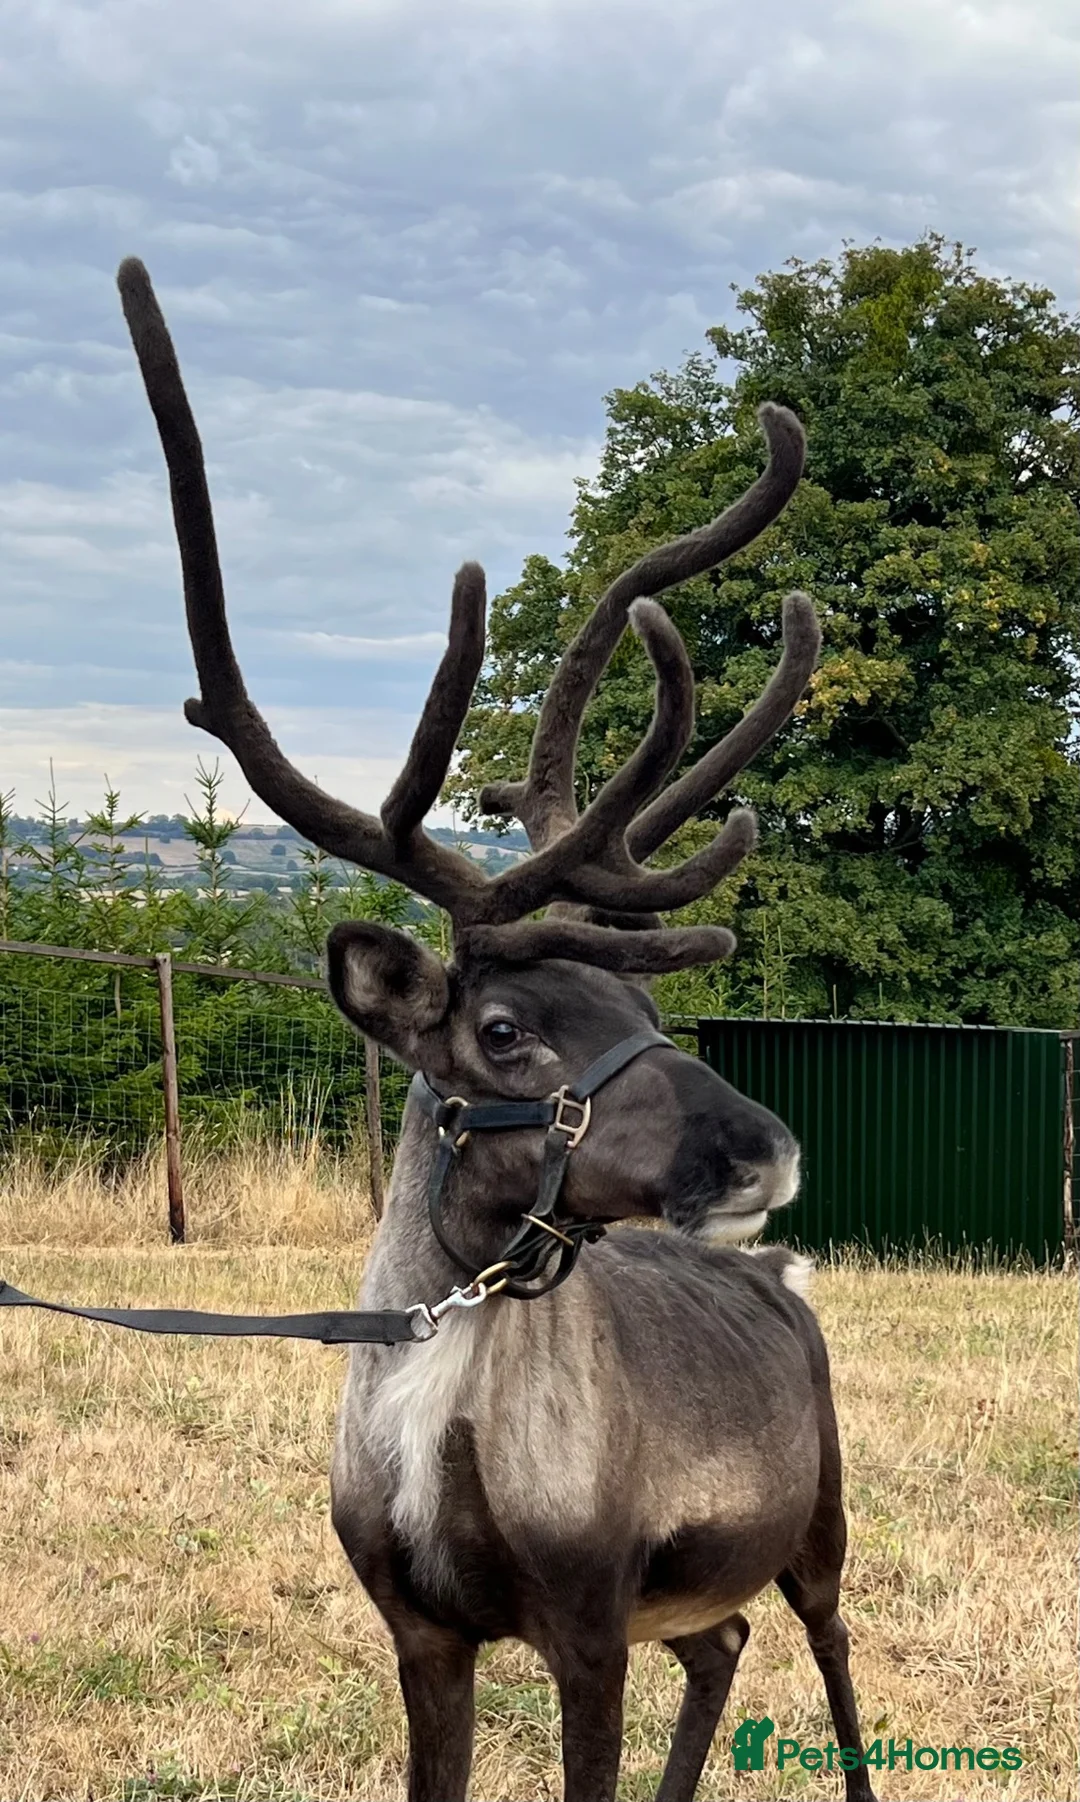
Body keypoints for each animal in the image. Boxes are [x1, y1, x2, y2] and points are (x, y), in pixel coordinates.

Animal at [117, 256, 878, 1802]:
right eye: (511, 1027)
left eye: (647, 1003)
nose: (768, 1151)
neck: (436, 1438)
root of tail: (786, 1274)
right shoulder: (423, 1632)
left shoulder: (584, 1618)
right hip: (695, 1590)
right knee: (722, 1646)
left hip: (816, 1522)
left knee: (834, 1662)